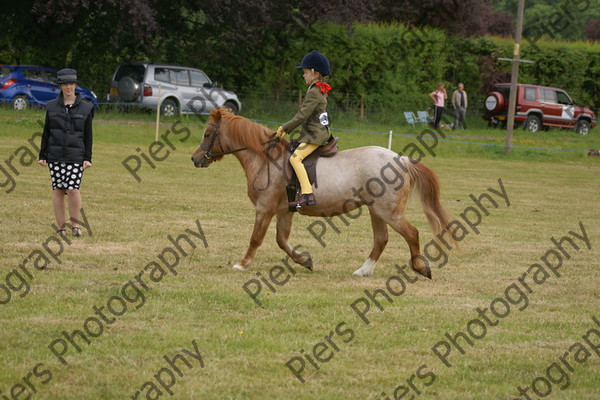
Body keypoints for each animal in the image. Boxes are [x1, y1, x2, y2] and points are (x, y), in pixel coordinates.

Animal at [192, 107, 454, 278]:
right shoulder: (284, 211)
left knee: (411, 233)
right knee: (381, 239)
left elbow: (256, 238)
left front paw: (243, 264)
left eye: (207, 134)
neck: (267, 159)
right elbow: (281, 240)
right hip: (376, 210)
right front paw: (305, 260)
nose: (195, 159)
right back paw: (363, 271)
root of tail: (402, 160)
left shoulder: (264, 208)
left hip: (387, 211)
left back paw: (420, 267)